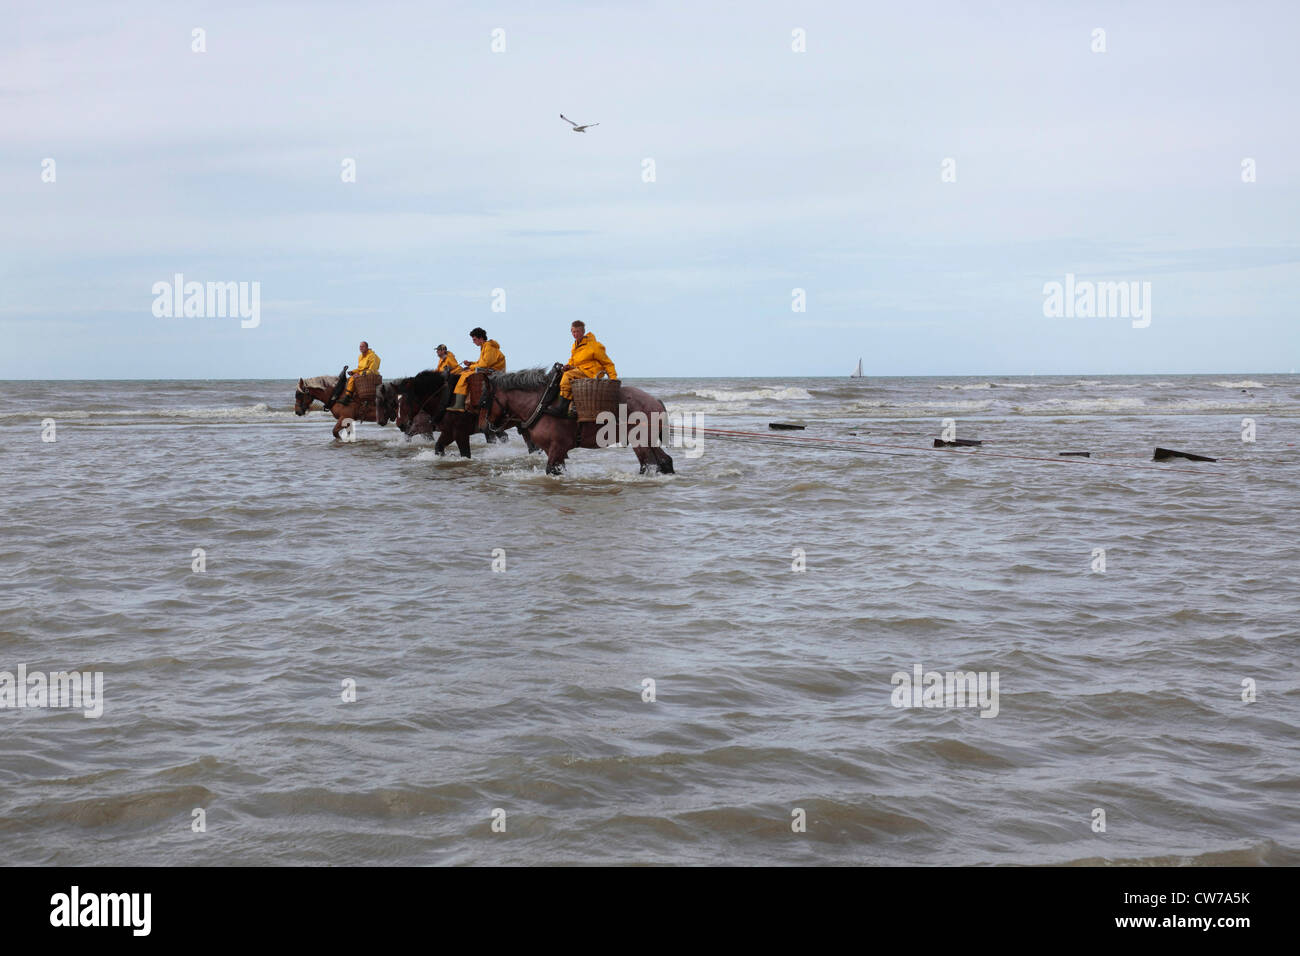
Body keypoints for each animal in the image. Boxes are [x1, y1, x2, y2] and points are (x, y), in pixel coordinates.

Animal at [467, 366, 676, 476]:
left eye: (484, 401)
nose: (483, 427)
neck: (542, 403)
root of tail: (654, 400)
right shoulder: (554, 451)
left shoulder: (557, 448)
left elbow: (551, 470)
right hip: (648, 441)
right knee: (664, 461)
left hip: (640, 441)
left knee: (649, 464)